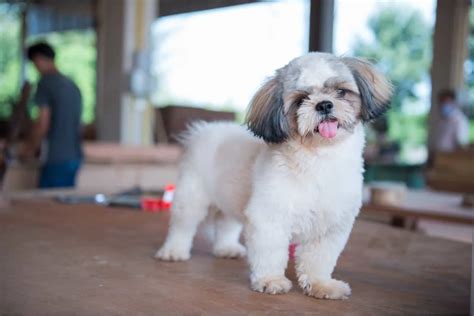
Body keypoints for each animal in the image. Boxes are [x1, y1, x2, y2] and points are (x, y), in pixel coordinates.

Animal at [156, 51, 392, 298]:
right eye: (301, 99)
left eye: (341, 92)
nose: (324, 105)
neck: (318, 159)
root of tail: (205, 130)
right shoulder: (269, 217)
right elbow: (270, 253)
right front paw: (270, 281)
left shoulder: (330, 226)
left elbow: (318, 260)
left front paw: (321, 285)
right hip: (190, 199)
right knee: (182, 226)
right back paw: (173, 251)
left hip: (231, 200)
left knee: (226, 224)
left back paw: (226, 248)